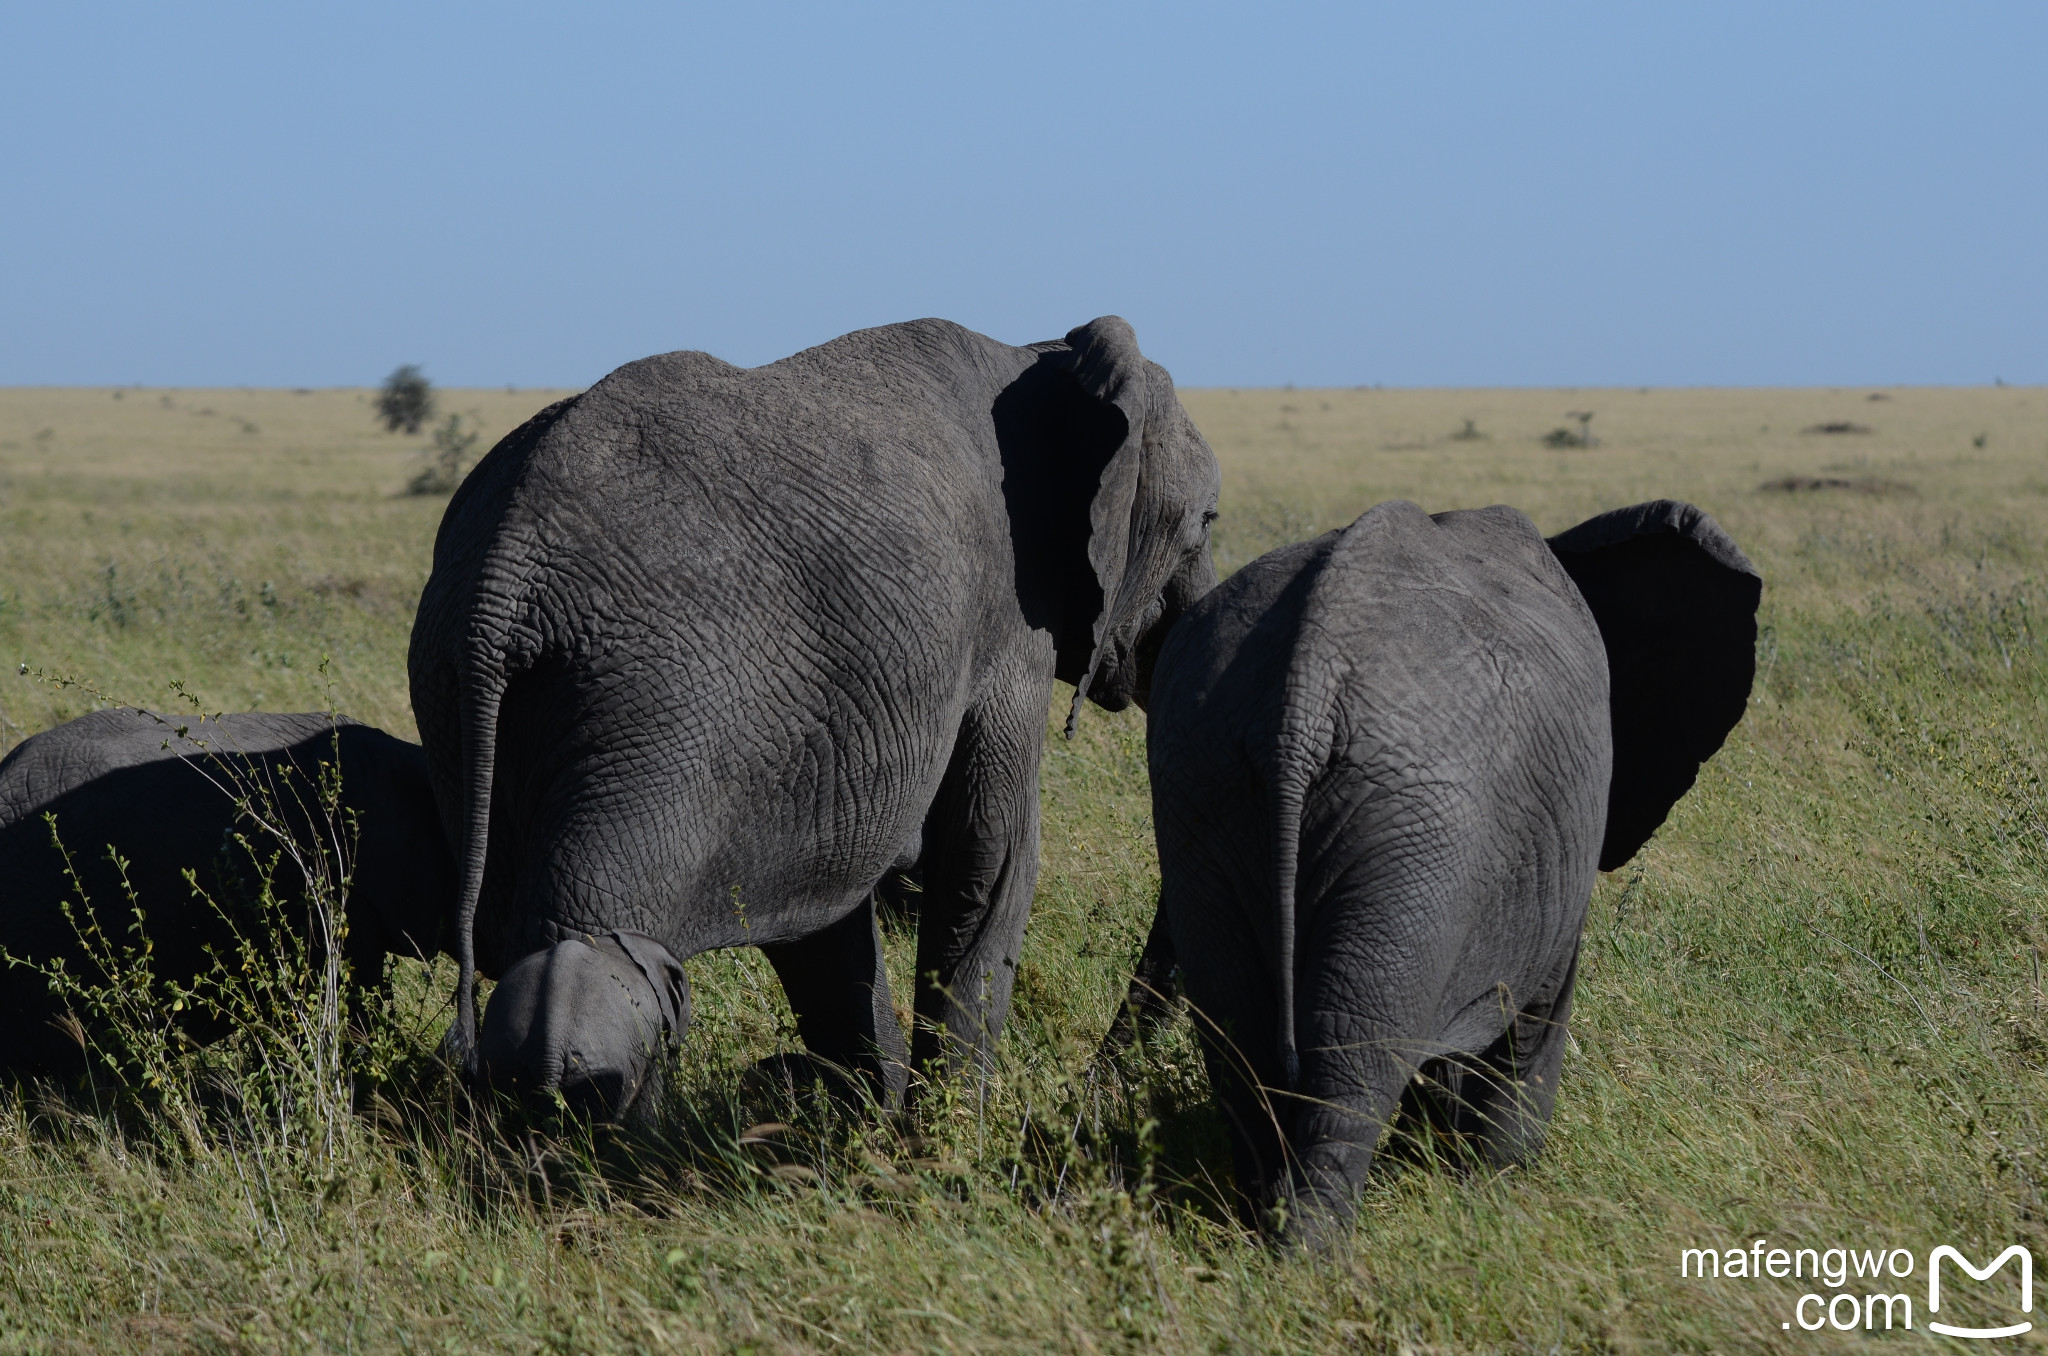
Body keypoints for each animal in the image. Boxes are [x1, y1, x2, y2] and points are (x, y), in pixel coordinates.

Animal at [407, 313, 1220, 1122]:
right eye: (1209, 522)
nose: (1089, 1092)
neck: (1044, 354)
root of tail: (503, 580)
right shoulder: (1010, 625)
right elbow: (990, 857)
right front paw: (950, 1135)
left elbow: (831, 910)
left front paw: (880, 1123)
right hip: (648, 709)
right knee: (595, 950)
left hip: (461, 699)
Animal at [1138, 501, 1761, 1253]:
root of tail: (1305, 688)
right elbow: (1534, 1018)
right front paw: (1497, 1183)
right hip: (1415, 825)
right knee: (1354, 1048)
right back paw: (1312, 1258)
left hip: (1204, 783)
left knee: (1240, 1037)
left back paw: (1255, 1233)